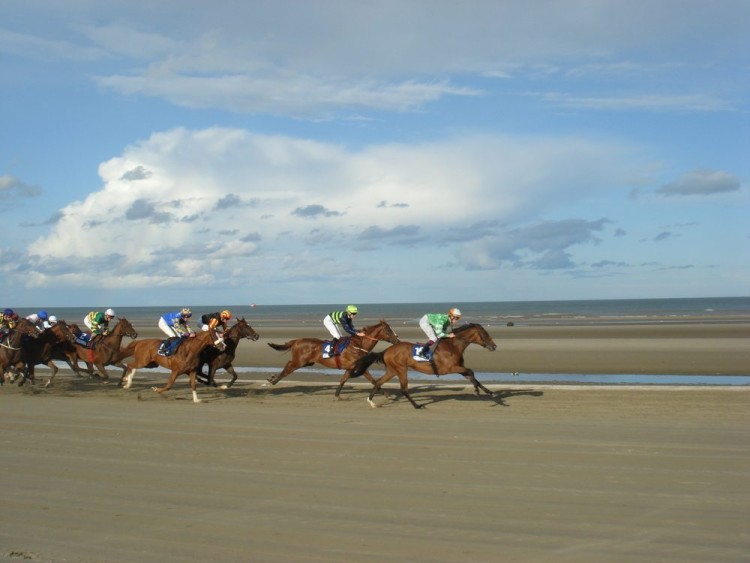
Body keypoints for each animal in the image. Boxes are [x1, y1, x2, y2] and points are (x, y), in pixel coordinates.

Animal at [268, 320, 402, 398]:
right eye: (389, 330)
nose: (397, 340)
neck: (358, 344)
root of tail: (296, 340)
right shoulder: (360, 367)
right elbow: (373, 380)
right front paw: (386, 393)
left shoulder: (350, 367)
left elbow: (343, 379)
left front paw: (337, 395)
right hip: (299, 362)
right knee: (288, 367)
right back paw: (273, 380)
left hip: (307, 363)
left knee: (288, 365)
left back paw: (273, 378)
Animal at [352, 322, 500, 410]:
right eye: (485, 334)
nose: (494, 346)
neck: (453, 345)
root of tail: (386, 350)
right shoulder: (450, 368)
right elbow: (471, 371)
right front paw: (477, 391)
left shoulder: (459, 368)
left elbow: (471, 375)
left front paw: (489, 392)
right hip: (401, 370)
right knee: (404, 389)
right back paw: (417, 406)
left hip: (392, 370)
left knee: (378, 382)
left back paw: (371, 402)